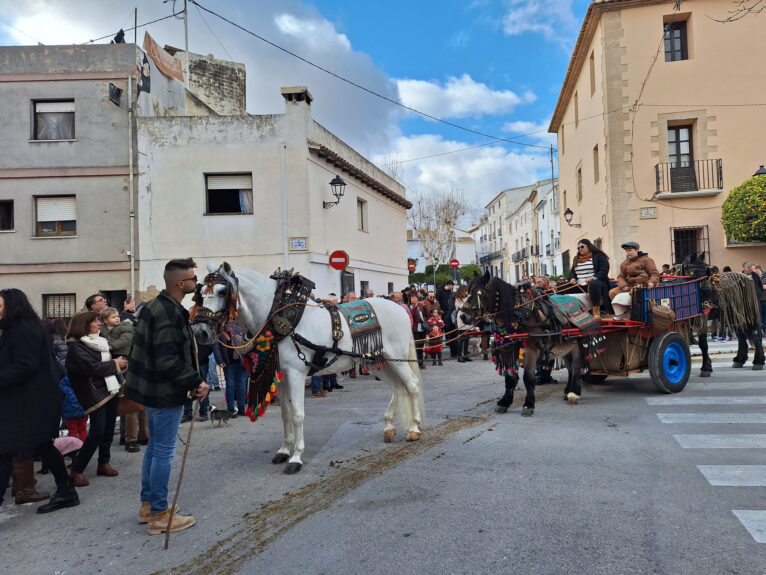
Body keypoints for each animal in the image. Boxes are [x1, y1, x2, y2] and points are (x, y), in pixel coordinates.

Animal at [191, 264, 426, 474]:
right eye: (200, 293)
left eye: (222, 291)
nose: (200, 331)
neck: (279, 317)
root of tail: (399, 308)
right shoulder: (282, 377)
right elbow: (285, 414)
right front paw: (284, 450)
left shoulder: (296, 375)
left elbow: (297, 414)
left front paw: (296, 457)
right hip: (378, 362)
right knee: (397, 387)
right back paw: (388, 427)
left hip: (395, 359)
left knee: (412, 386)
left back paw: (414, 429)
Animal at [462, 272, 592, 416]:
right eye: (468, 291)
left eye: (479, 293)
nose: (463, 316)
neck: (518, 315)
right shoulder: (509, 350)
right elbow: (510, 379)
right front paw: (505, 402)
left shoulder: (530, 351)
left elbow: (528, 378)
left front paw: (529, 404)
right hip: (565, 347)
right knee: (570, 367)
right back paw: (568, 390)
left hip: (577, 344)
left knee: (575, 367)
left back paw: (574, 392)